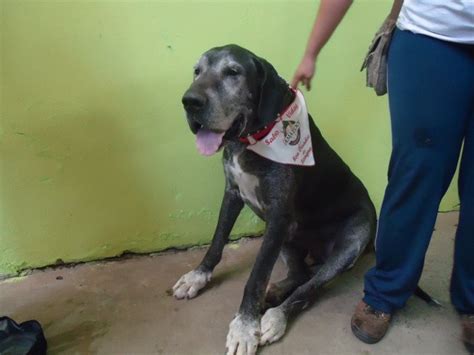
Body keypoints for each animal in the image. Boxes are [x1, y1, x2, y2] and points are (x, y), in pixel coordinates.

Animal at [174, 45, 378, 355]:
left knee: (310, 288)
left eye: (233, 72)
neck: (250, 140)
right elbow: (217, 241)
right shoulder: (233, 194)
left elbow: (256, 277)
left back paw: (274, 317)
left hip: (351, 241)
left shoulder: (279, 214)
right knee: (301, 275)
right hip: (285, 237)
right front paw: (198, 275)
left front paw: (245, 327)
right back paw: (276, 293)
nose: (190, 101)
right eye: (197, 71)